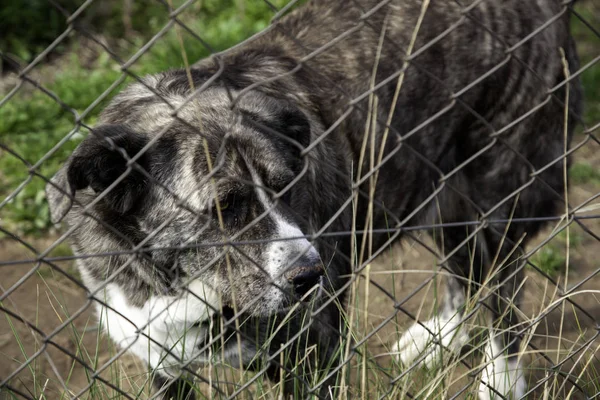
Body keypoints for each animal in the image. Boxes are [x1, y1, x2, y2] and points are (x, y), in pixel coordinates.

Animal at [47, 1, 580, 398]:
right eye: (223, 206)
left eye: (288, 185)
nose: (311, 276)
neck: (182, 283)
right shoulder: (161, 365)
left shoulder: (315, 354)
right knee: (465, 274)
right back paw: (439, 339)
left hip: (494, 199)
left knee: (501, 291)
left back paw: (501, 379)